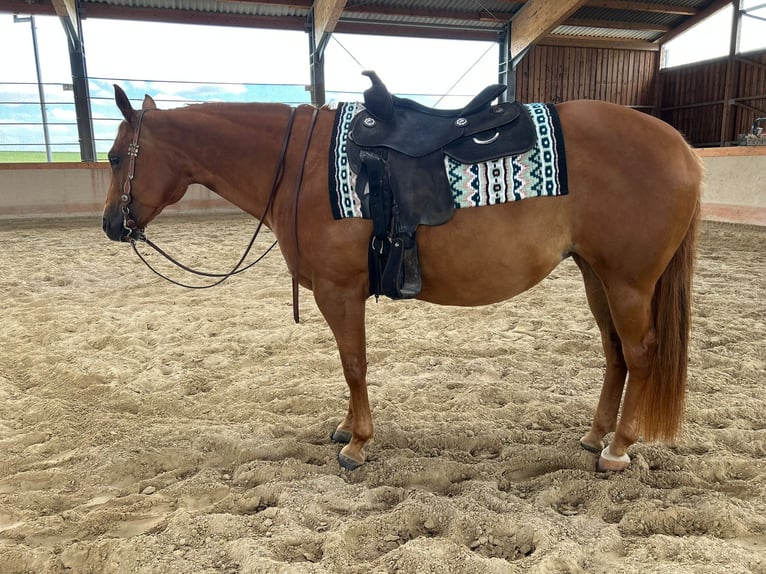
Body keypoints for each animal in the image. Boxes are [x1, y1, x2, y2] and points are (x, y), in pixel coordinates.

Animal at [102, 84, 702, 473]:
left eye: (113, 157)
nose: (111, 223)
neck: (300, 165)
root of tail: (682, 147)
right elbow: (350, 365)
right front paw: (347, 429)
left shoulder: (339, 292)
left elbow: (353, 364)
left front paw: (357, 445)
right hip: (596, 275)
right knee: (614, 352)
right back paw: (596, 436)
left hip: (628, 282)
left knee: (640, 353)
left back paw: (619, 449)